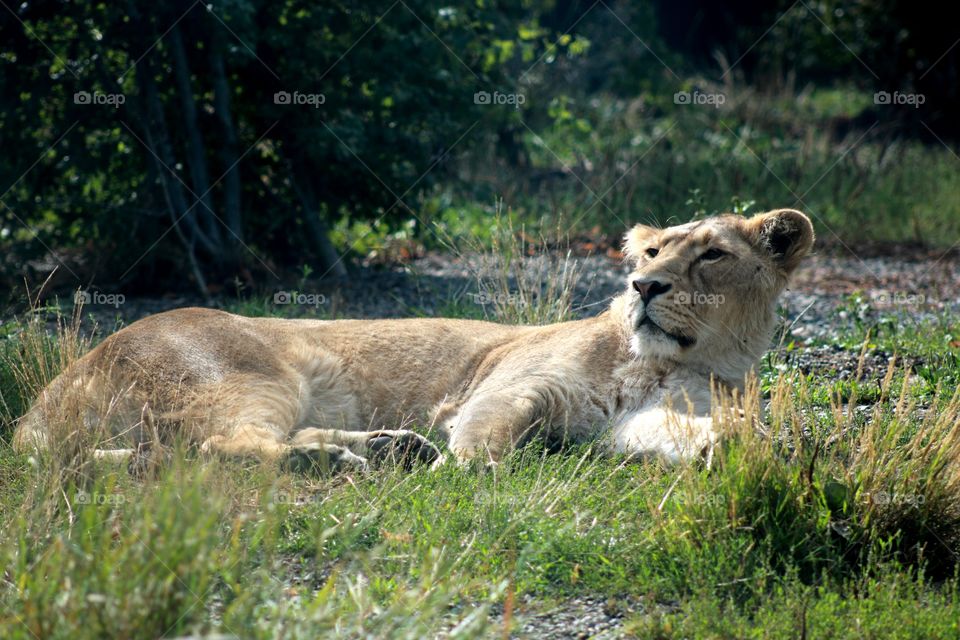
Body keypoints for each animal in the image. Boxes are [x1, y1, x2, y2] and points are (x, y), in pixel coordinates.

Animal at [13, 209, 813, 471]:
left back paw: (385, 449)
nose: (646, 287)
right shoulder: (509, 387)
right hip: (249, 372)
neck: (669, 362)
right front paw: (462, 473)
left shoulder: (637, 419)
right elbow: (483, 440)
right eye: (650, 253)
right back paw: (350, 460)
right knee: (220, 445)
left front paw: (728, 447)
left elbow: (681, 434)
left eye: (711, 255)